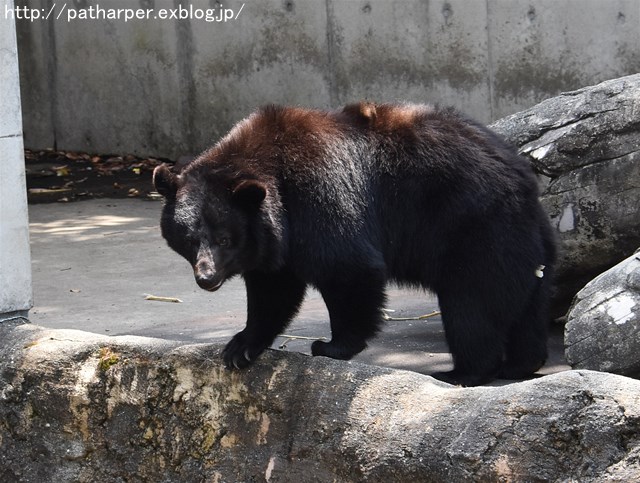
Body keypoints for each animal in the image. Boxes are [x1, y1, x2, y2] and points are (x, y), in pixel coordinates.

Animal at [155, 104, 556, 388]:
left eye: (224, 238)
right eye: (189, 239)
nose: (207, 278)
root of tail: (524, 181)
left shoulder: (316, 192)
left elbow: (347, 266)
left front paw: (331, 346)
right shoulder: (273, 238)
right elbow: (274, 289)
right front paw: (240, 347)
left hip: (476, 231)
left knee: (472, 305)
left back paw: (462, 372)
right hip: (530, 245)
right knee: (527, 305)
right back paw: (521, 362)